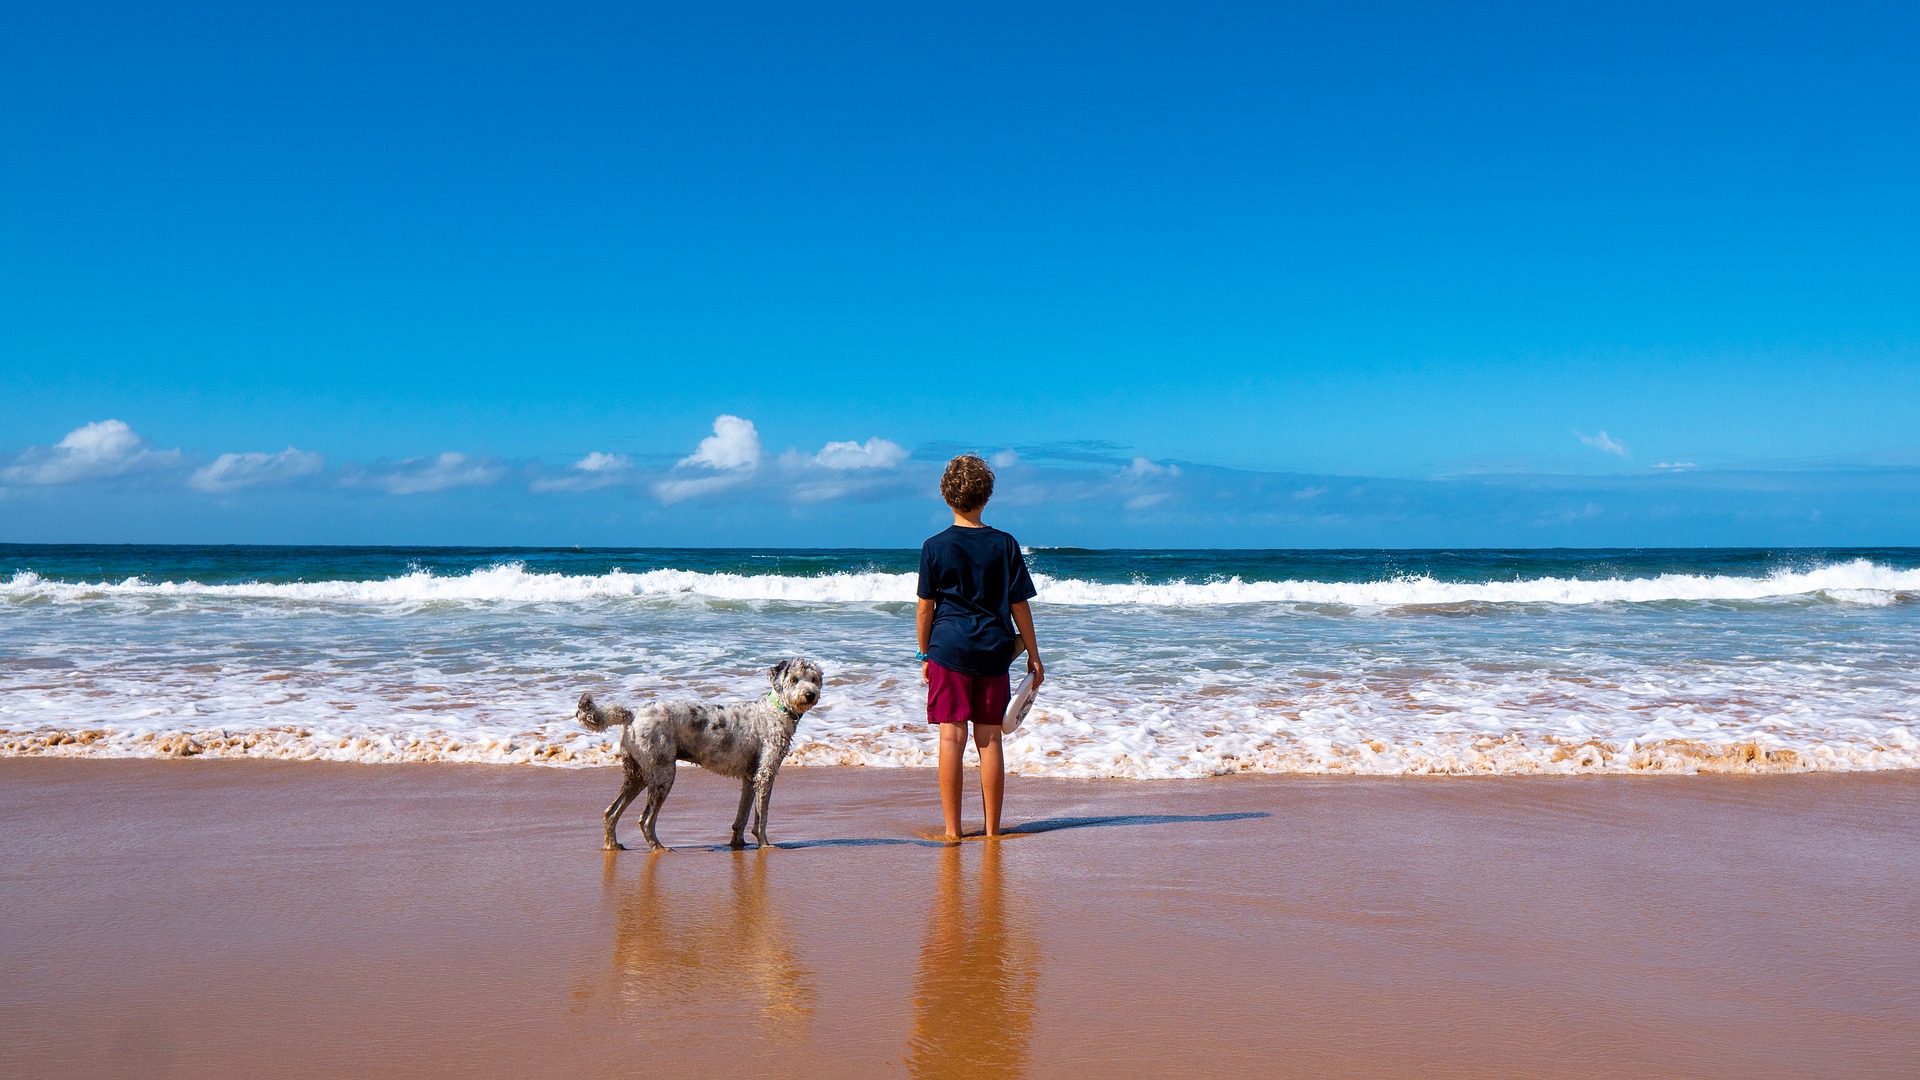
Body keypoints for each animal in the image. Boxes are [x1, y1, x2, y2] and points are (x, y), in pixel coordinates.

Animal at [572, 657, 821, 849]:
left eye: (814, 679)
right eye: (794, 679)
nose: (810, 694)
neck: (775, 711)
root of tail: (632, 714)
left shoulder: (750, 777)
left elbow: (741, 817)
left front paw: (737, 844)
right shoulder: (765, 774)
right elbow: (762, 818)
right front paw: (765, 845)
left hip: (637, 774)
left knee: (610, 812)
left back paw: (612, 845)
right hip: (663, 775)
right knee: (645, 820)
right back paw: (659, 848)